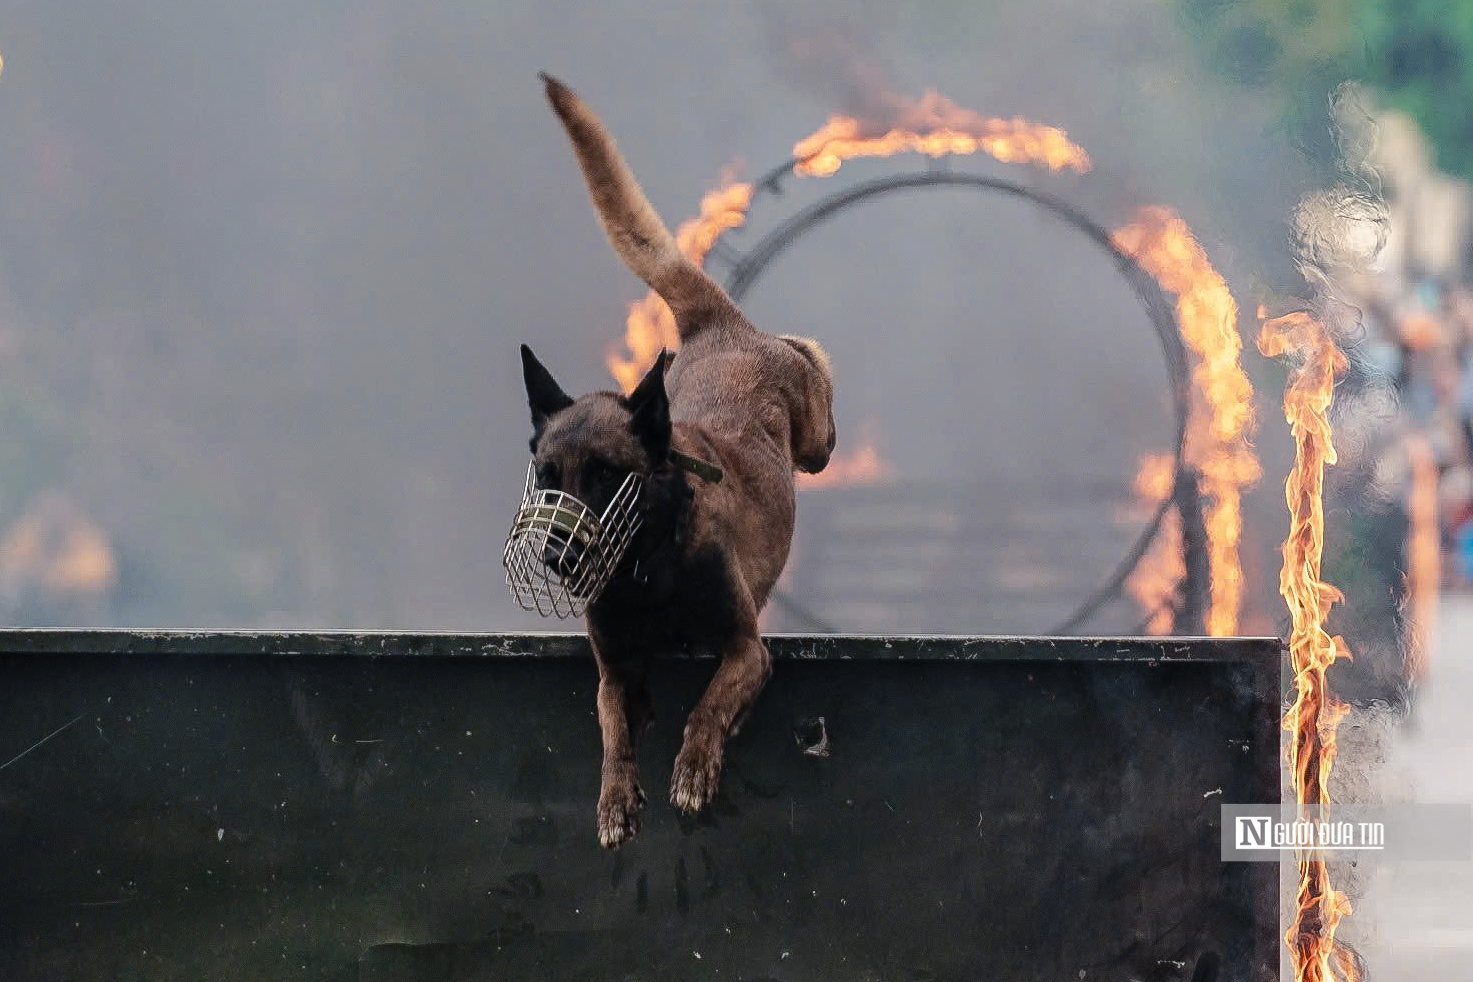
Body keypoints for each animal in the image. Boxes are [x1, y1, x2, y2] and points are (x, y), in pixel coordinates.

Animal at [524, 72, 836, 848]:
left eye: (606, 474)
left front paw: (694, 769)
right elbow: (611, 731)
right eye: (548, 477)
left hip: (815, 436)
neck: (647, 568)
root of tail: (713, 325)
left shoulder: (745, 649)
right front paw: (615, 799)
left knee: (810, 363)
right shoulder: (615, 672)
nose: (557, 555)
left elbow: (707, 707)